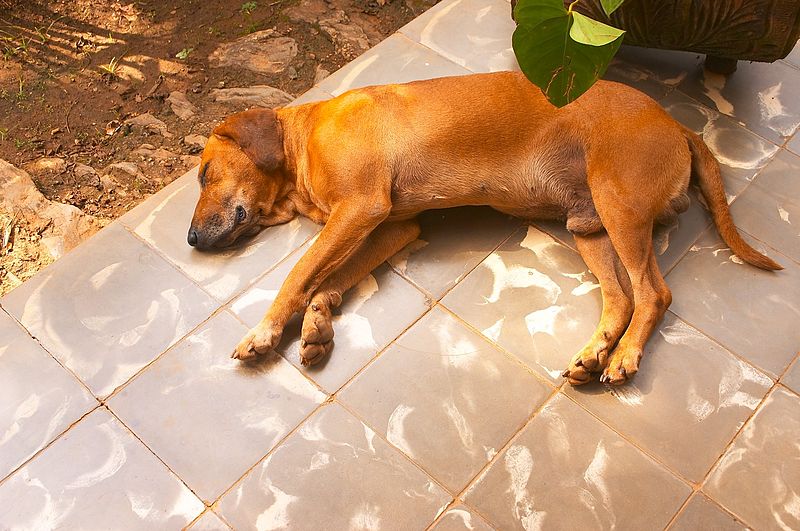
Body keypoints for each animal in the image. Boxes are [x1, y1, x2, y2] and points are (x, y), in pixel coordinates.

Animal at [189, 70, 780, 386]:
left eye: (204, 173)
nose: (192, 240)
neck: (305, 136)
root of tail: (675, 122)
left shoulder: (359, 209)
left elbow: (297, 275)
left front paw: (265, 331)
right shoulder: (392, 227)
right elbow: (332, 277)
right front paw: (318, 319)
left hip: (620, 206)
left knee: (655, 293)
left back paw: (625, 357)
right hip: (590, 227)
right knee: (622, 297)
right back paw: (594, 354)